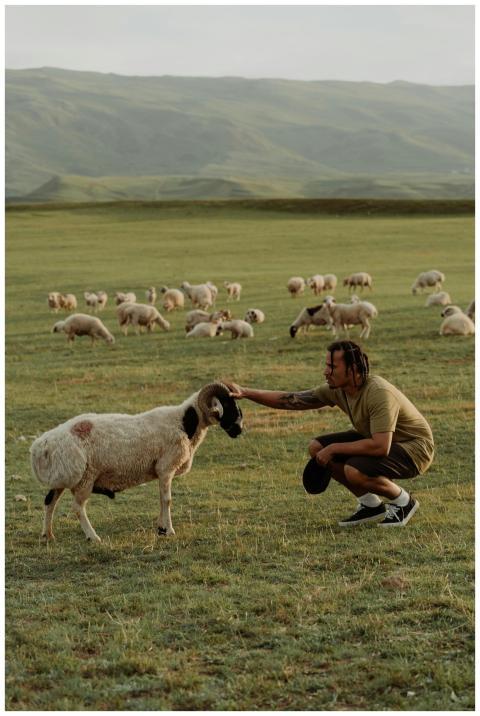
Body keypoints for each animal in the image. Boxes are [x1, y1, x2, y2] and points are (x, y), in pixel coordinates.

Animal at [30, 382, 243, 542]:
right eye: (227, 404)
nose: (239, 429)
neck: (185, 423)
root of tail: (41, 446)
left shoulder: (160, 471)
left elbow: (161, 499)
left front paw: (161, 528)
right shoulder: (165, 468)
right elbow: (167, 499)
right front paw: (169, 530)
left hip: (61, 476)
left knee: (50, 501)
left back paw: (48, 535)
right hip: (85, 478)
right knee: (77, 508)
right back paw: (93, 537)